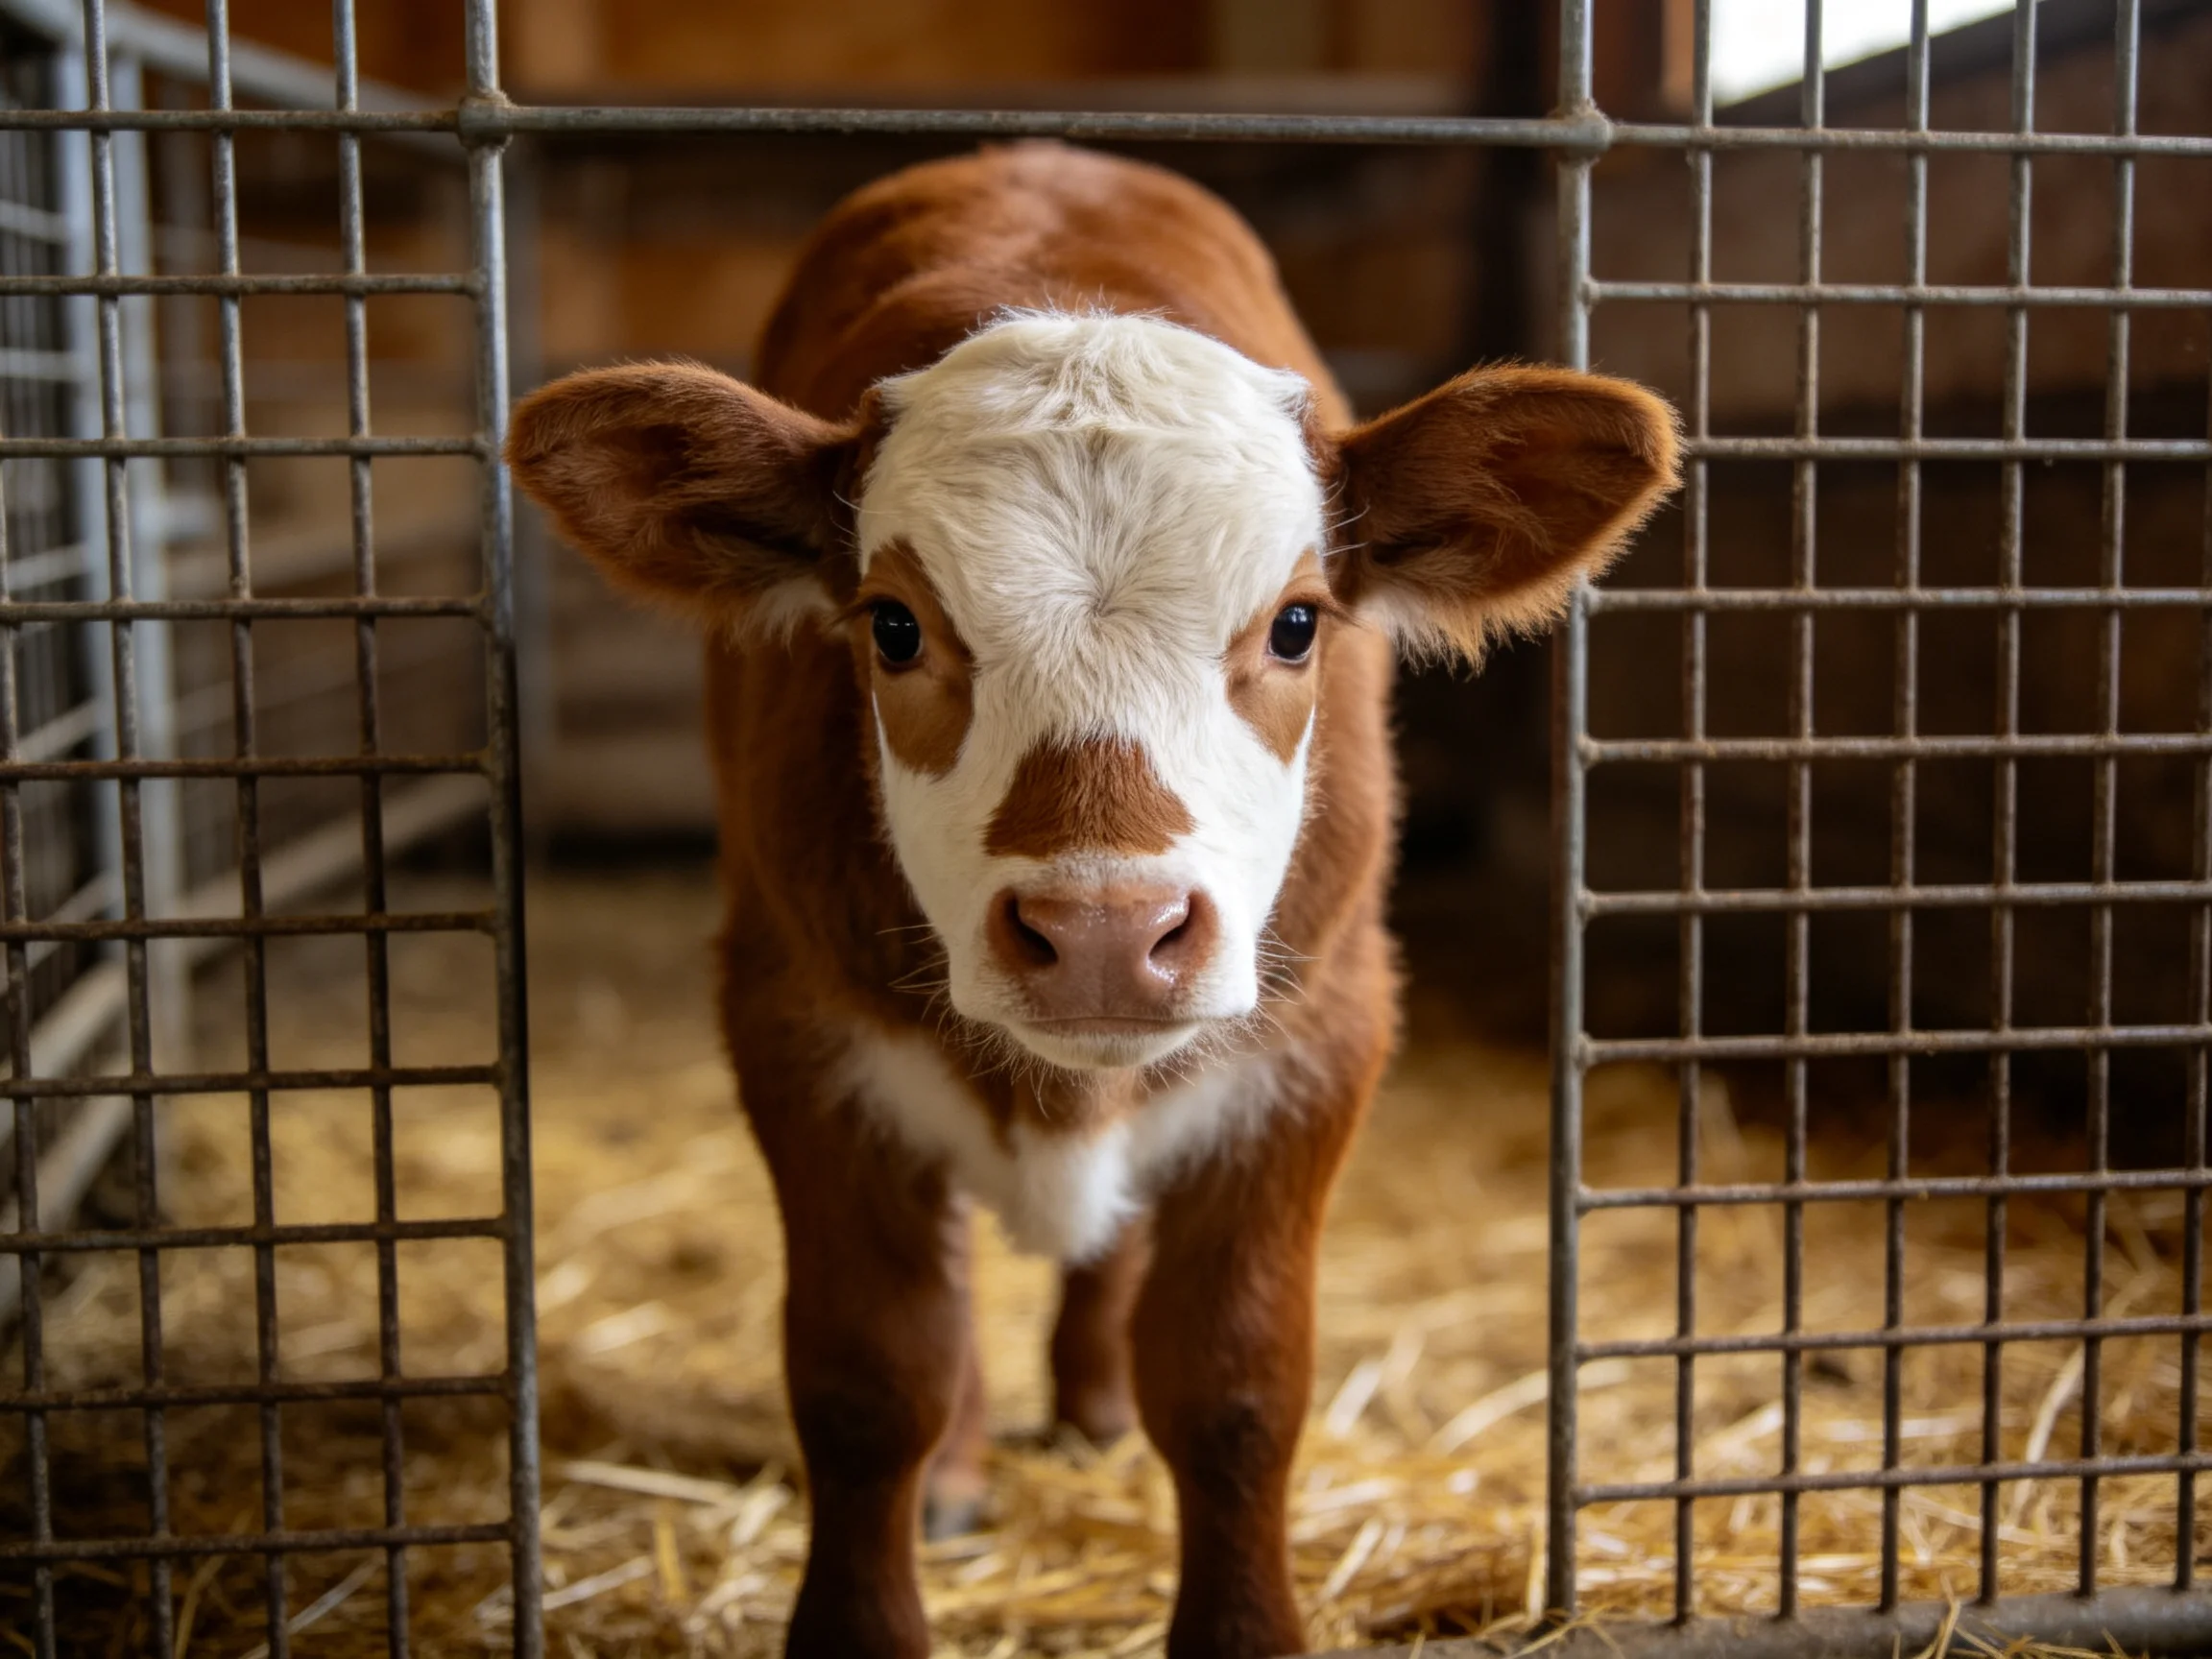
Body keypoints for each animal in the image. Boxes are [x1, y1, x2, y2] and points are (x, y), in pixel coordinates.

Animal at [507, 141, 1677, 1659]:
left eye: (1297, 622)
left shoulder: (1322, 1034)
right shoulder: (795, 1027)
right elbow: (868, 1374)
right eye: (895, 626)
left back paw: (1099, 1410)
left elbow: (1238, 1384)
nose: (1107, 936)